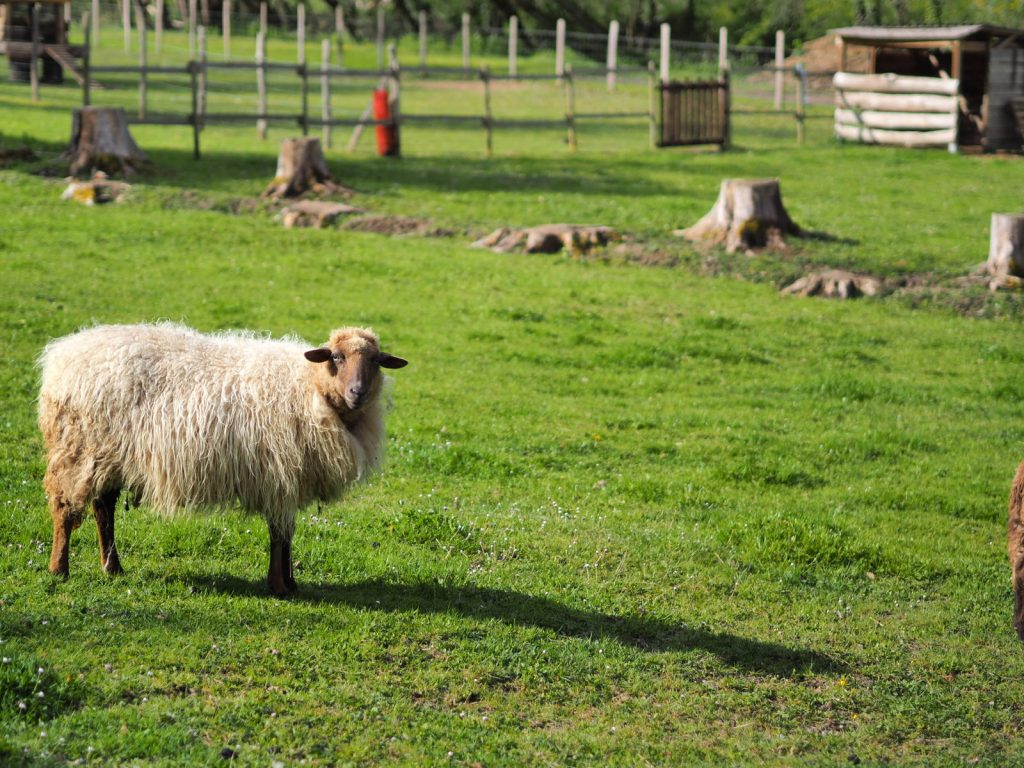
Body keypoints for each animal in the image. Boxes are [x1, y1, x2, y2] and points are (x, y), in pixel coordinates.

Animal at [39, 321, 407, 598]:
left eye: (376, 360)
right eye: (336, 356)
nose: (358, 392)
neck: (309, 388)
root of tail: (63, 354)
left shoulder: (286, 478)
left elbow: (286, 533)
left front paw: (289, 583)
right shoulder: (280, 474)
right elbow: (279, 534)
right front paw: (279, 585)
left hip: (108, 457)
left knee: (104, 509)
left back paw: (112, 568)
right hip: (77, 449)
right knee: (65, 508)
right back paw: (59, 568)